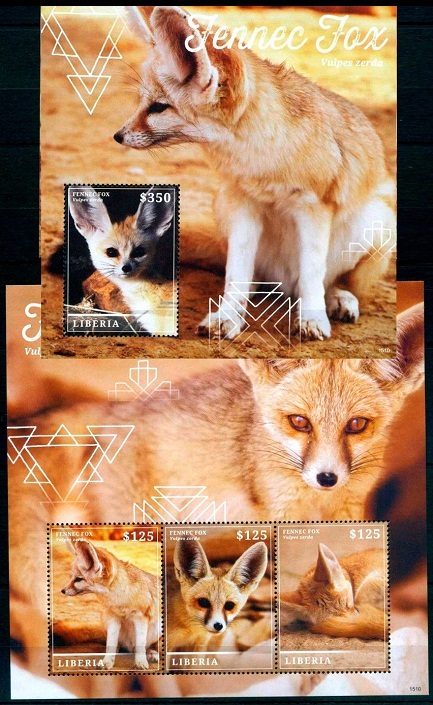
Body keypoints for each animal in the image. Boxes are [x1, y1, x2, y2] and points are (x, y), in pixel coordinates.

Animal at [60, 539, 160, 670]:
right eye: (72, 577)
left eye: (78, 579)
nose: (63, 591)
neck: (121, 599)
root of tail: (130, 647)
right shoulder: (113, 617)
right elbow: (110, 644)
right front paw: (107, 661)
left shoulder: (140, 618)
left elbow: (141, 644)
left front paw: (141, 662)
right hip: (106, 620)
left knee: (147, 646)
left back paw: (152, 653)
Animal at [113, 5, 395, 341]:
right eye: (145, 103)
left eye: (158, 107)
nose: (118, 136)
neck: (264, 160)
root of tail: (286, 284)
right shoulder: (242, 203)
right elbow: (236, 273)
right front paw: (228, 317)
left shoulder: (313, 208)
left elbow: (313, 273)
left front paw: (312, 319)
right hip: (225, 209)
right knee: (254, 280)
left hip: (378, 224)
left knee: (321, 283)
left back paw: (338, 298)